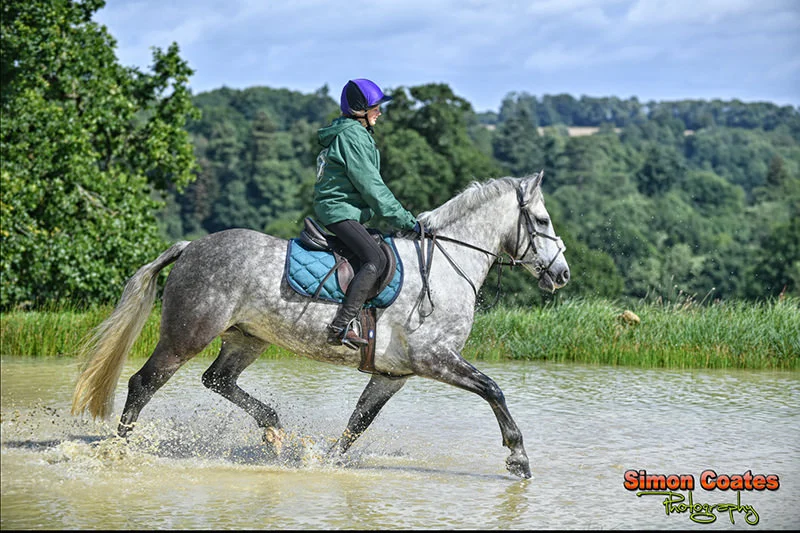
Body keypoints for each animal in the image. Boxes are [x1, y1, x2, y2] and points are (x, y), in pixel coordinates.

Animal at [71, 171, 570, 478]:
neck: (448, 265)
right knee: (144, 383)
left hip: (246, 339)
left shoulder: (394, 374)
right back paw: (121, 450)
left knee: (217, 379)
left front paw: (325, 462)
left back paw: (273, 430)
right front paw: (518, 458)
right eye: (542, 220)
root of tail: (190, 246)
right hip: (188, 334)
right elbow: (493, 390)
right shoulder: (436, 358)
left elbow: (359, 421)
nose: (562, 274)